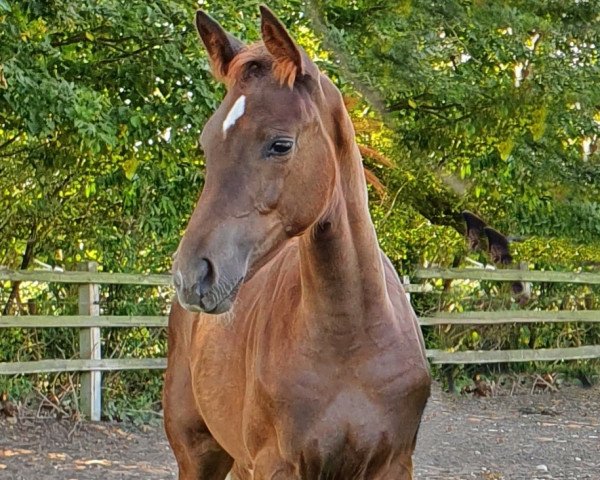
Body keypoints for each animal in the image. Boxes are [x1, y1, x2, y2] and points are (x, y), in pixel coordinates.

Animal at [164, 7, 432, 480]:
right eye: (207, 144)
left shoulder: (394, 464)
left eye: (280, 144)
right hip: (198, 455)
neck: (352, 340)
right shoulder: (277, 465)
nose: (192, 276)